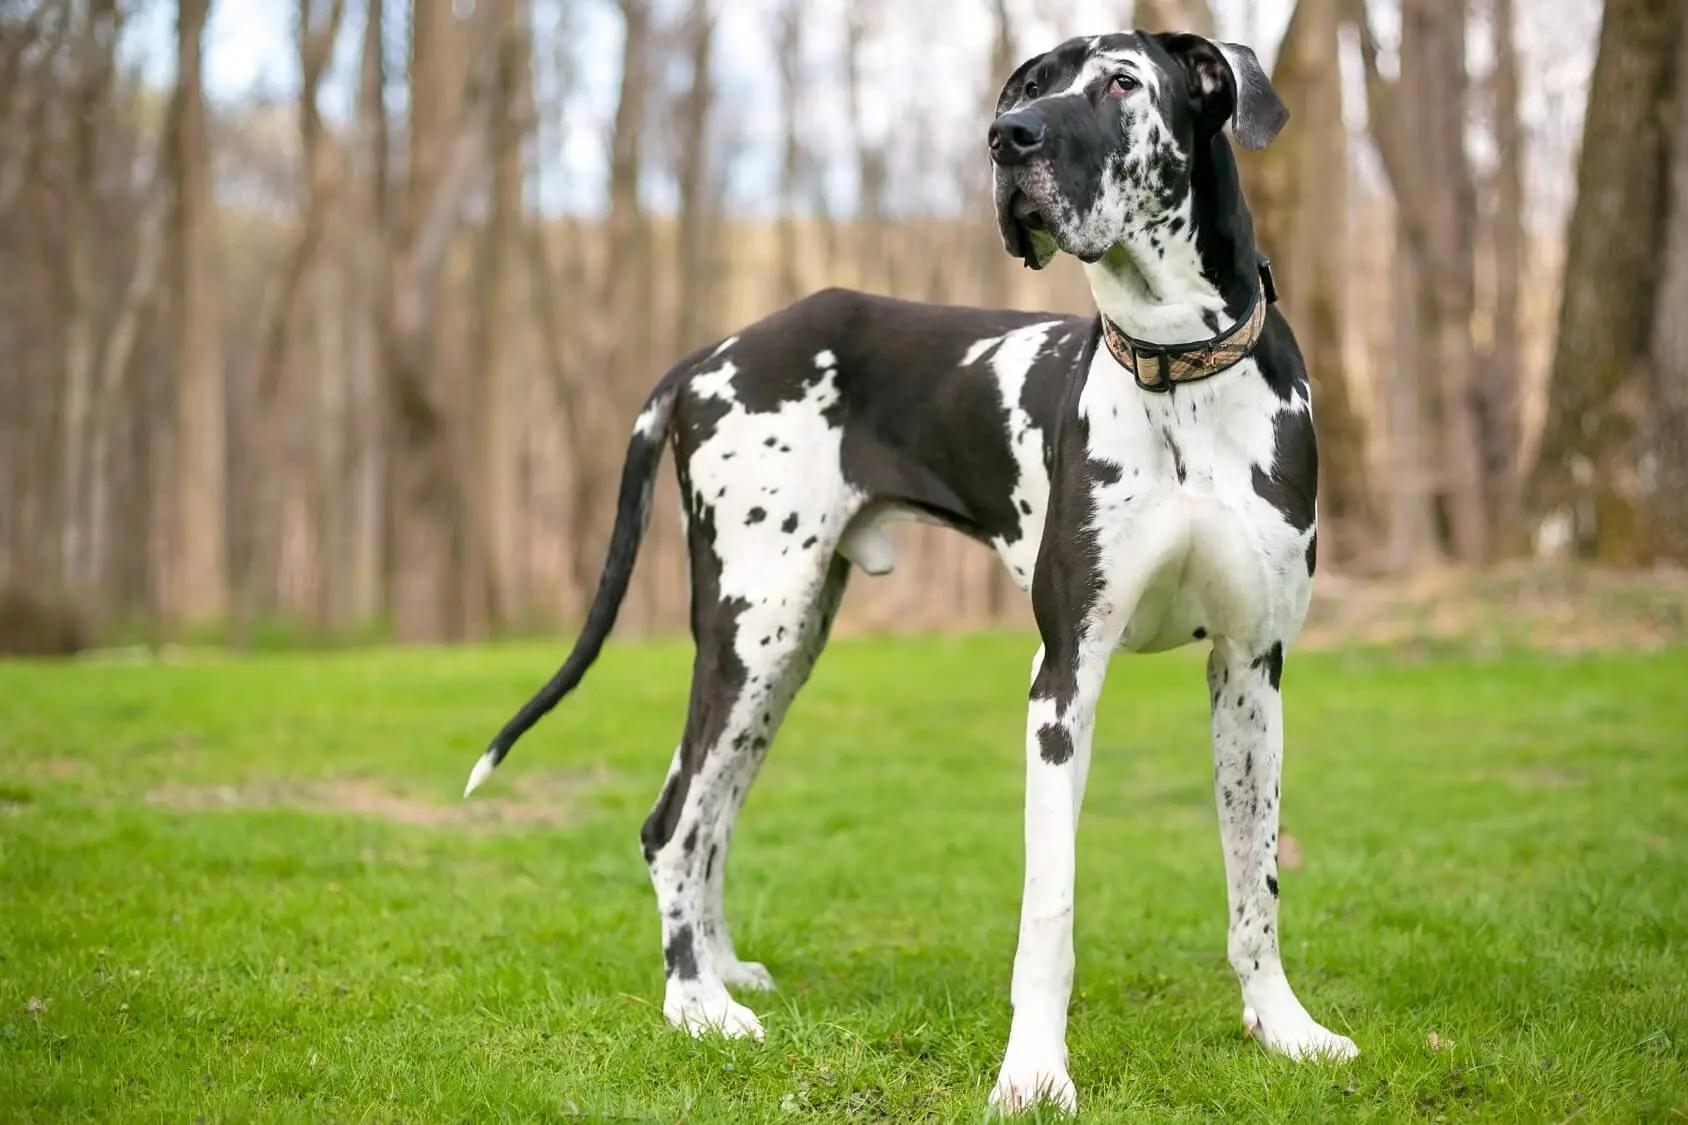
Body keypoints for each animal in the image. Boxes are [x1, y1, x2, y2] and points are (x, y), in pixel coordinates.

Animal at [469, 28, 1363, 1114]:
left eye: (1120, 81)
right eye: (1033, 85)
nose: (1006, 137)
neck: (1177, 372)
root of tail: (707, 356)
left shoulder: (1250, 672)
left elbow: (1254, 880)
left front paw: (1282, 1027)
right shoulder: (1062, 681)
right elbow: (1049, 909)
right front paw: (1034, 1074)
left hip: (783, 647)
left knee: (710, 810)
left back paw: (720, 970)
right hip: (752, 628)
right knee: (672, 823)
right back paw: (696, 1006)